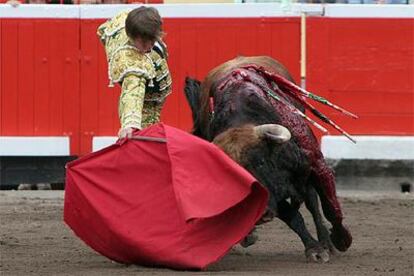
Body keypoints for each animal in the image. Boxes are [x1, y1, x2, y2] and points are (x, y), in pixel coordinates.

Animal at [184, 56, 352, 264]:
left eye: (261, 162)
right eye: (230, 175)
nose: (261, 214)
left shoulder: (311, 165)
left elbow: (328, 205)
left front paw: (340, 239)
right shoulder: (272, 194)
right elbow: (292, 217)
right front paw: (314, 248)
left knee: (313, 202)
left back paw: (328, 242)